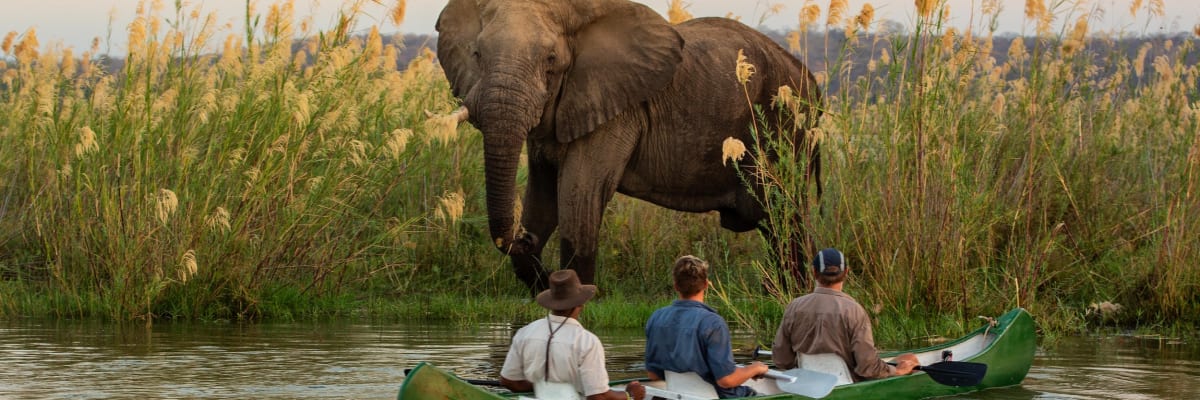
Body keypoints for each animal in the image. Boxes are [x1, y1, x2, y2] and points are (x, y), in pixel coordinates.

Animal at [435, 0, 822, 294]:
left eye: (550, 61)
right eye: (476, 54)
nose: (523, 237)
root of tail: (811, 79)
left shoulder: (615, 110)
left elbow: (579, 195)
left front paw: (578, 297)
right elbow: (543, 197)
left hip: (788, 127)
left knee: (785, 217)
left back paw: (795, 293)